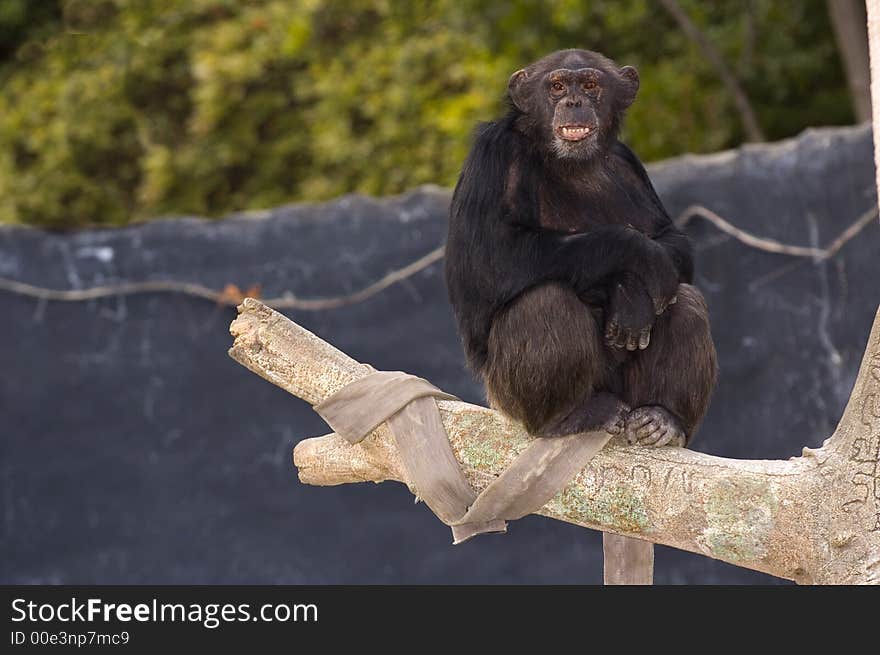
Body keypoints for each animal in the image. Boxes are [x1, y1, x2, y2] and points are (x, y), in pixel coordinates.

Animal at [446, 48, 716, 448]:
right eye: (557, 86)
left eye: (590, 84)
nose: (574, 102)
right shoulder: (493, 153)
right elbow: (486, 259)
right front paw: (636, 267)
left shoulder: (628, 162)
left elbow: (672, 241)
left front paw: (633, 293)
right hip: (509, 399)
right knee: (544, 302)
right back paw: (569, 416)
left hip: (629, 395)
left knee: (686, 301)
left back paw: (663, 417)